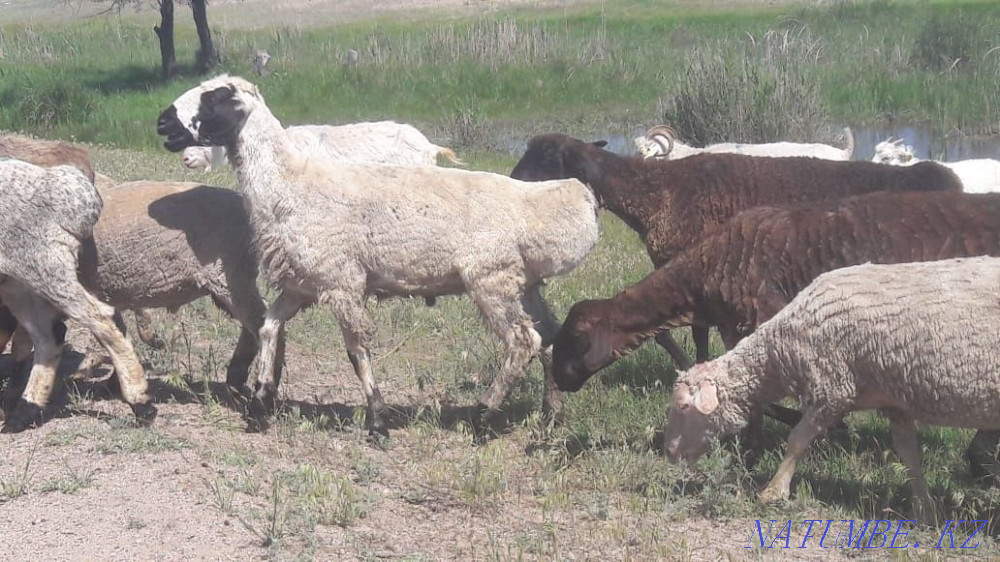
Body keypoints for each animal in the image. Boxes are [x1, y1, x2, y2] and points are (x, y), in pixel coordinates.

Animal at [0, 159, 154, 431]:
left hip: (44, 267)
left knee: (101, 318)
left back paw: (141, 401)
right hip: (19, 282)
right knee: (48, 337)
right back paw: (23, 413)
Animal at [156, 75, 601, 437]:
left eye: (217, 96)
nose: (162, 123)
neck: (290, 183)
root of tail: (555, 201)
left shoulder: (342, 281)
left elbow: (356, 352)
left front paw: (377, 420)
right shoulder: (303, 283)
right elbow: (268, 327)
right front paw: (260, 402)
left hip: (492, 278)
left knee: (523, 341)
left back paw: (484, 416)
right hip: (523, 283)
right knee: (546, 336)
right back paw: (552, 413)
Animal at [511, 133, 961, 368]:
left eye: (546, 157)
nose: (509, 178)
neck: (656, 192)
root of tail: (937, 176)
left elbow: (691, 330)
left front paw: (694, 365)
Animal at [664, 257, 1000, 521]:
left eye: (683, 406)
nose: (668, 452)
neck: (781, 350)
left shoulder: (832, 388)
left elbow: (797, 440)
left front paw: (772, 492)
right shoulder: (893, 401)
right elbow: (909, 455)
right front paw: (925, 511)